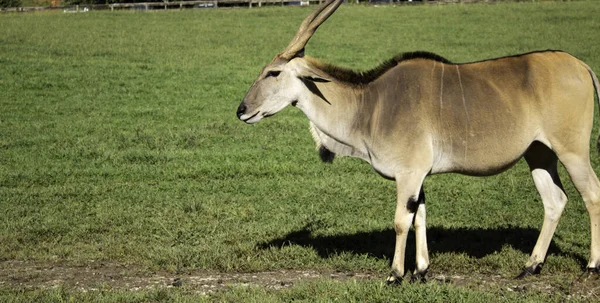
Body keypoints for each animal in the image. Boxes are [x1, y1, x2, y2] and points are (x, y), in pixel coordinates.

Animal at [234, 0, 600, 284]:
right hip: (539, 154)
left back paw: (592, 265)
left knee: (591, 193)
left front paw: (395, 274)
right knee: (555, 200)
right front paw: (421, 271)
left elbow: (400, 221)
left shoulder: (408, 174)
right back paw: (531, 266)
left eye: (273, 73)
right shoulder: (418, 175)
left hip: (572, 150)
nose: (242, 110)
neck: (371, 105)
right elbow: (420, 215)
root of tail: (582, 65)